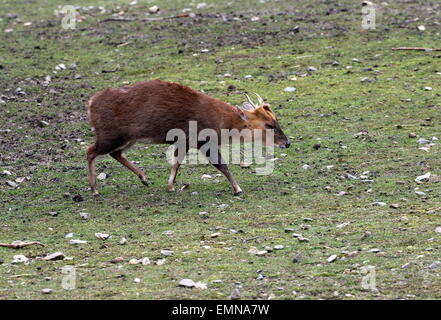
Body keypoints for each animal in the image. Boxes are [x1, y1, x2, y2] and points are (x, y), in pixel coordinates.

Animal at [87, 79, 290, 196]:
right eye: (269, 125)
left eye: (276, 120)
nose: (287, 143)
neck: (221, 121)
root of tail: (90, 104)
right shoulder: (203, 139)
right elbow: (221, 164)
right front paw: (237, 189)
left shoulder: (184, 140)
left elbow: (176, 163)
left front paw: (170, 186)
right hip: (111, 135)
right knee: (90, 151)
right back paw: (95, 189)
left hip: (128, 138)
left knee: (115, 153)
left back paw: (144, 178)